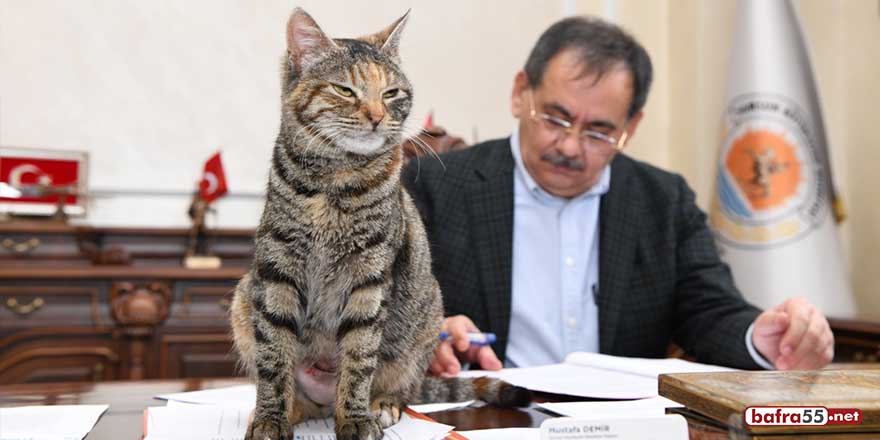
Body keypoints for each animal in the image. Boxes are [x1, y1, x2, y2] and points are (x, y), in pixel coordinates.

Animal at [229, 6, 528, 440]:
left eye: (392, 93)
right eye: (345, 90)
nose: (376, 115)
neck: (334, 178)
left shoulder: (368, 277)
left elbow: (359, 357)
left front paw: (355, 418)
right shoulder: (277, 271)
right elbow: (273, 356)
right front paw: (271, 416)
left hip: (426, 319)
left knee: (401, 385)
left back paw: (381, 404)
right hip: (242, 297)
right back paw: (292, 407)